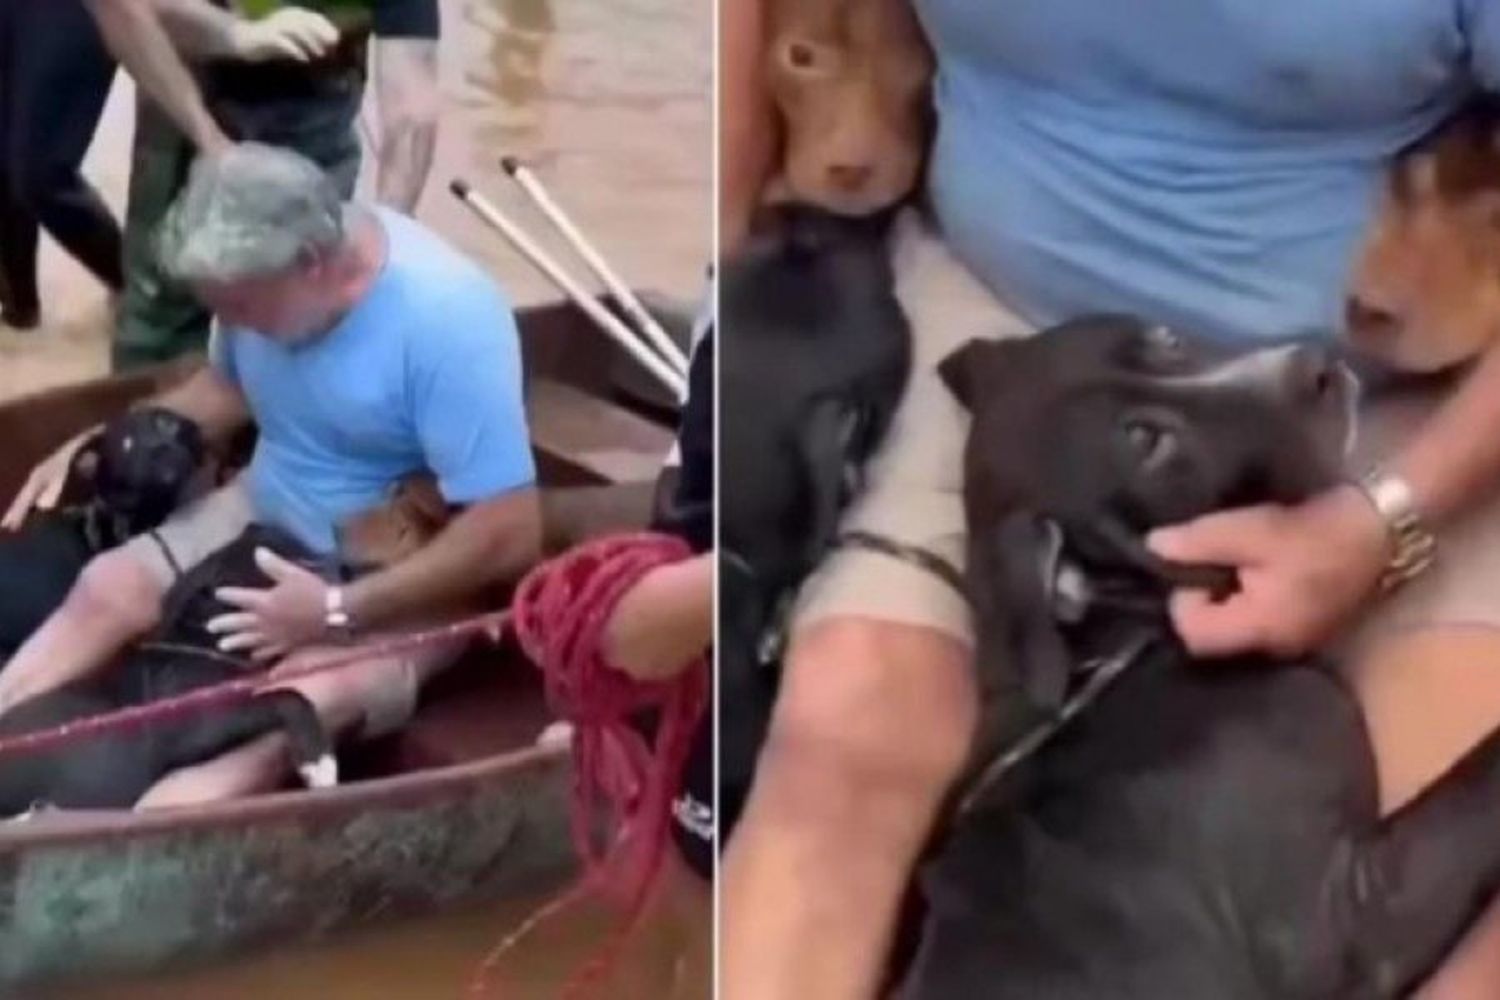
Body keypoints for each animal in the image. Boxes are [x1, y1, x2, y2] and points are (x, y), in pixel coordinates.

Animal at [0, 527, 334, 815]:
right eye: (268, 565)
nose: (322, 559)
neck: (199, 643)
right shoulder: (194, 722)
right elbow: (286, 696)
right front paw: (319, 761)